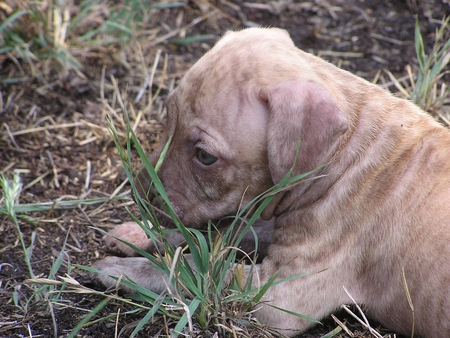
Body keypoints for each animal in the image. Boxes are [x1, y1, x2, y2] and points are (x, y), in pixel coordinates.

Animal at [92, 27, 450, 336]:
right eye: (167, 118)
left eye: (205, 156)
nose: (139, 196)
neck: (348, 153)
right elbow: (223, 233)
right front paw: (138, 234)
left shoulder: (281, 295)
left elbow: (196, 270)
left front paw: (123, 271)